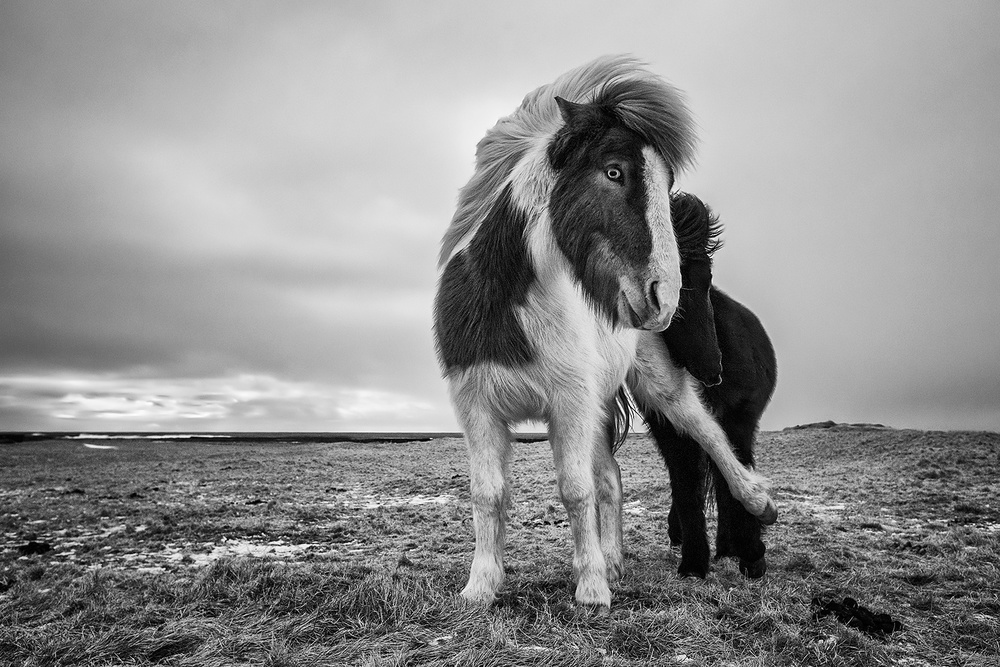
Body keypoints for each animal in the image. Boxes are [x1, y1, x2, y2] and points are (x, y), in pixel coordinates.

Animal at [648, 193, 780, 580]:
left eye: (707, 277)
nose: (712, 370)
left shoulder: (738, 418)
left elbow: (730, 473)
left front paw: (752, 553)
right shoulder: (665, 426)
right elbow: (685, 486)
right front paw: (694, 563)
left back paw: (732, 547)